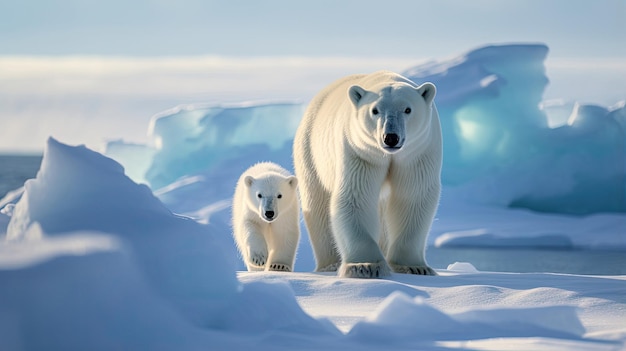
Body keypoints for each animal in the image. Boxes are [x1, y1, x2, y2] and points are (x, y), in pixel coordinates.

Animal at [292, 71, 438, 278]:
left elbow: (412, 197)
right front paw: (365, 266)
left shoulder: (417, 153)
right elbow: (355, 196)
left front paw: (414, 267)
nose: (390, 137)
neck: (387, 155)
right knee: (318, 205)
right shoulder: (360, 151)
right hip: (311, 153)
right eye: (375, 110)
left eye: (408, 109)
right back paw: (330, 264)